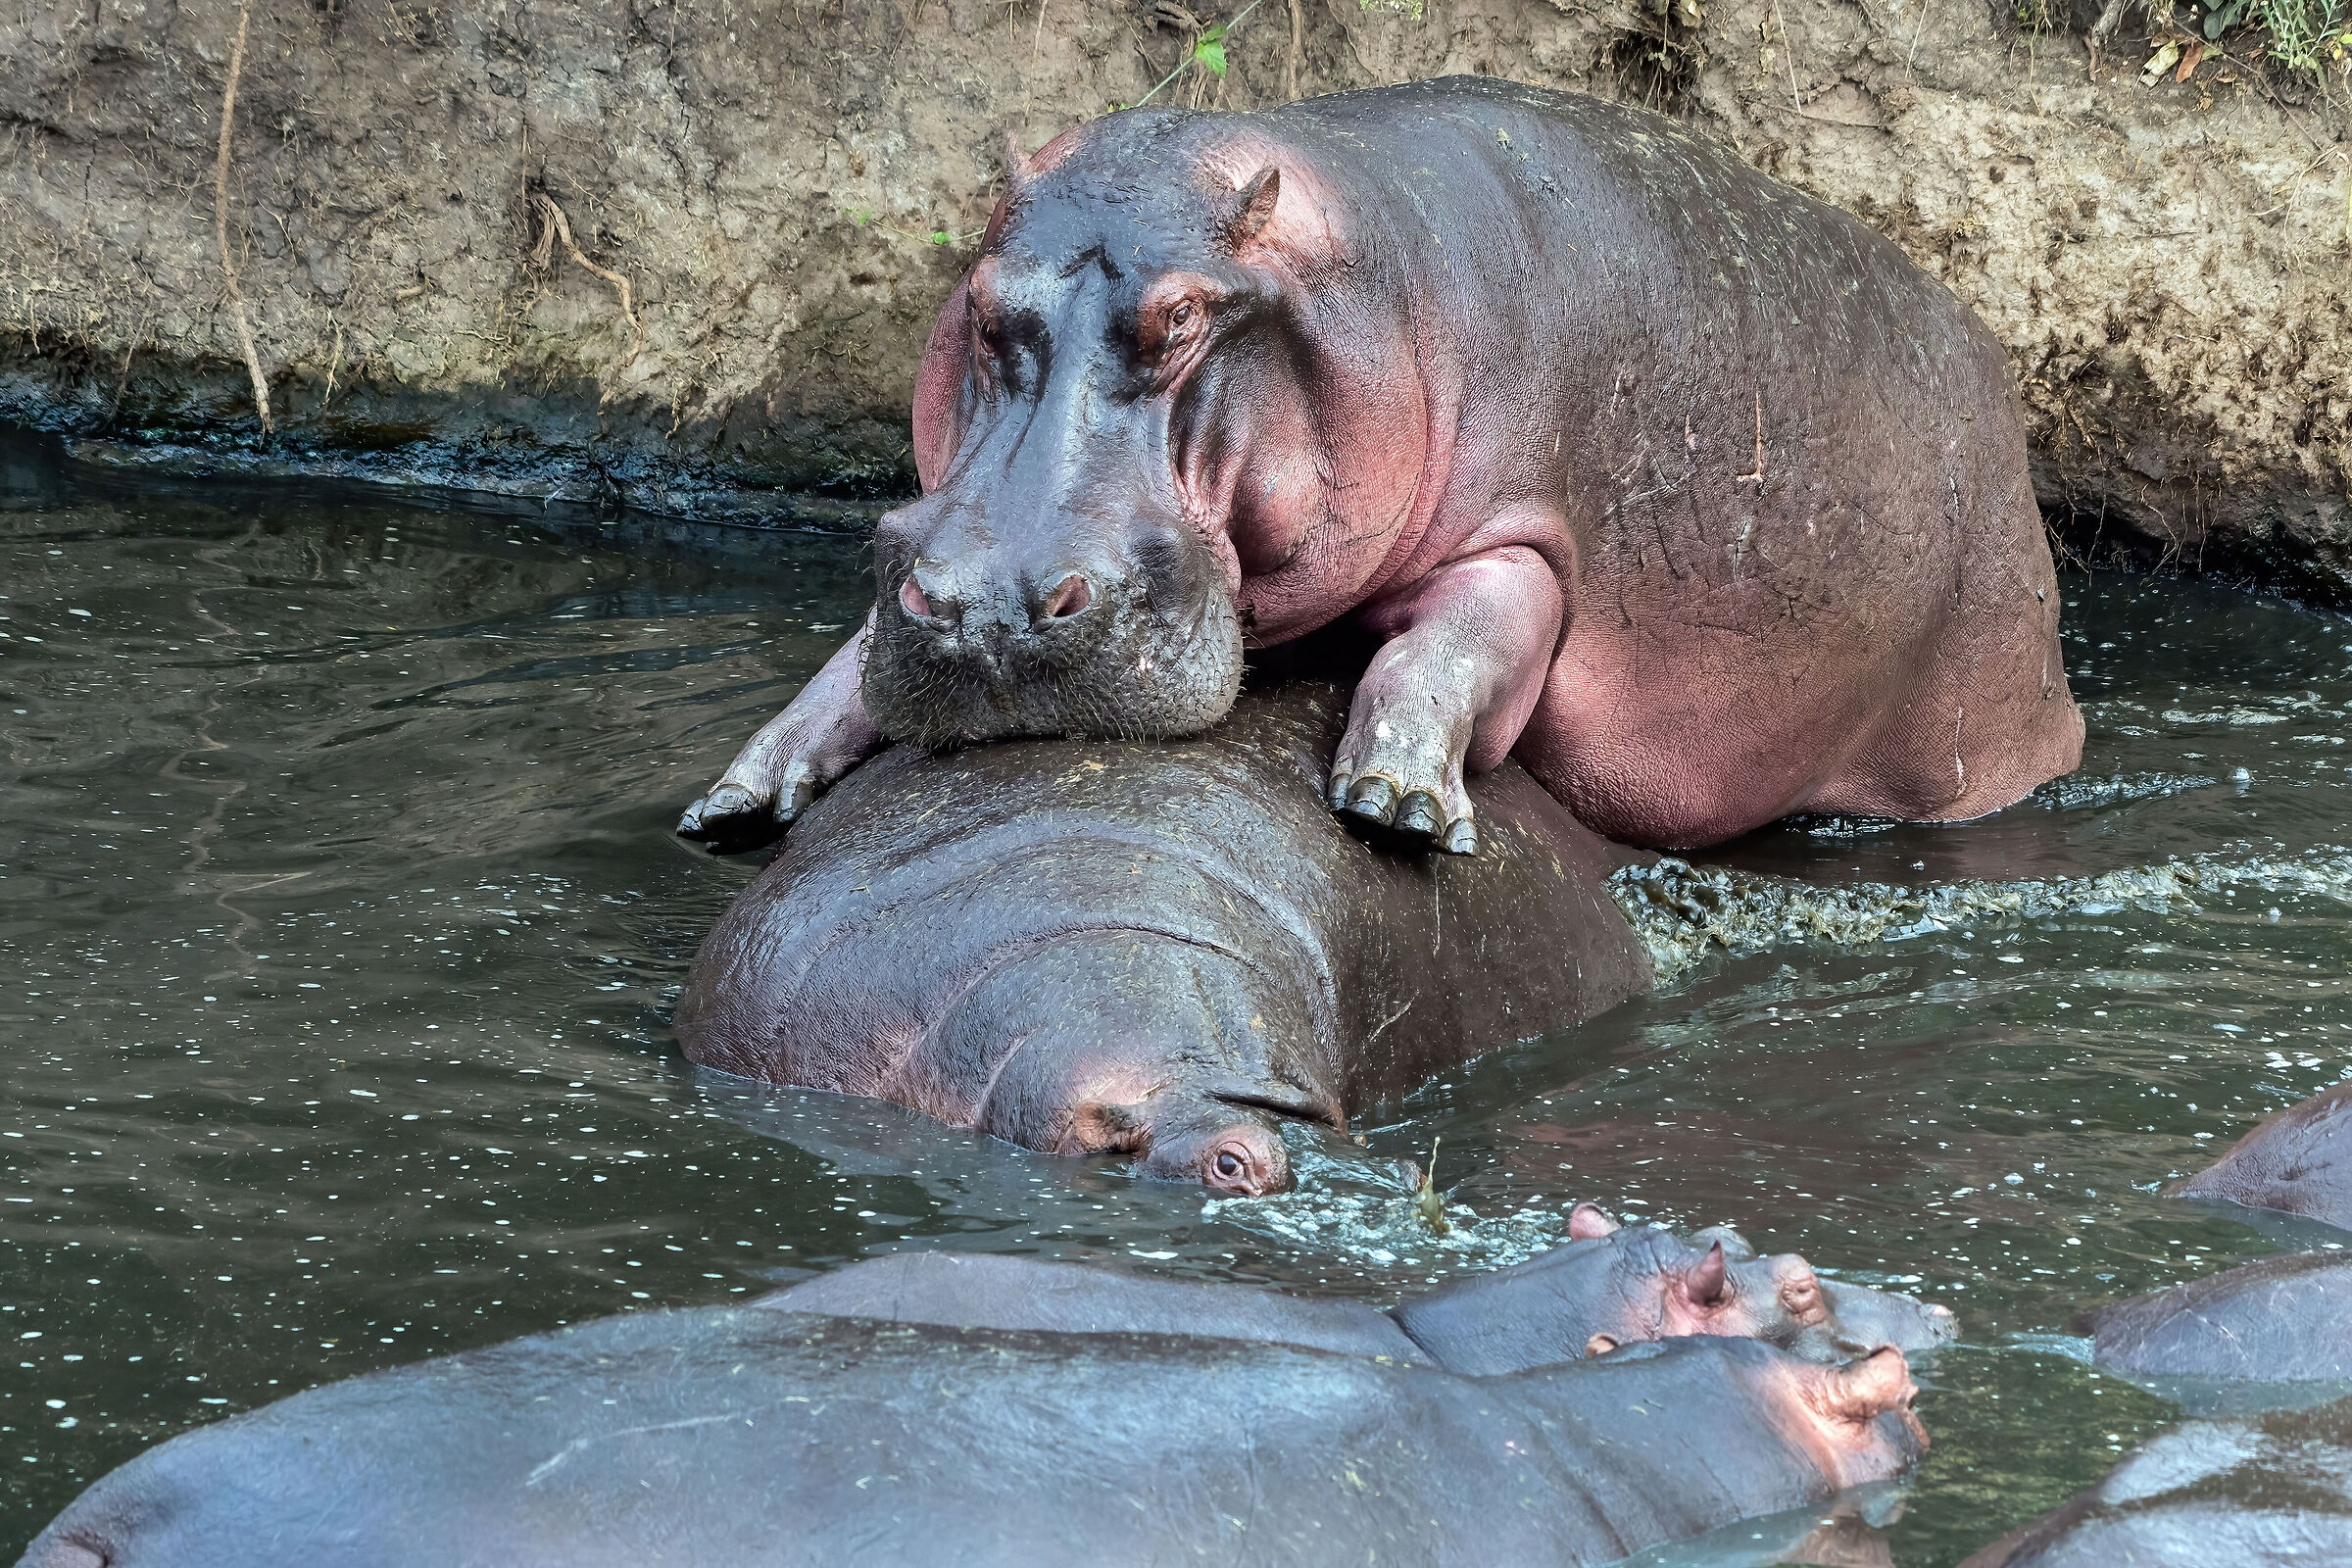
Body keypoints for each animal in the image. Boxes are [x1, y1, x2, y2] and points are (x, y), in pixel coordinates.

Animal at [679, 75, 2081, 858]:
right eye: (979, 304)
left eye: (1183, 318)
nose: (986, 608)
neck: (1371, 270)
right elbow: (850, 653)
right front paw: (745, 786)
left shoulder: (1522, 541)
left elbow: (1454, 646)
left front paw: (1395, 797)